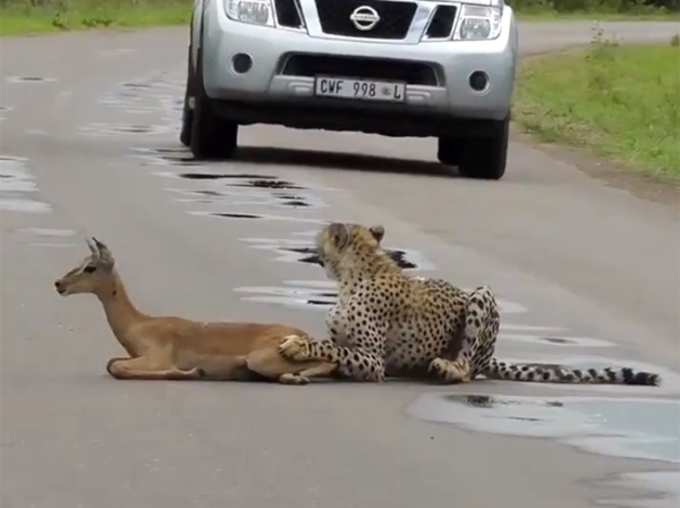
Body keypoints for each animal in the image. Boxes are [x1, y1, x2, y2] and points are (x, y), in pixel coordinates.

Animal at [278, 222, 660, 384]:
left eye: (322, 240)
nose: (314, 250)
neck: (357, 271)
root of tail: (489, 357)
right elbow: (333, 346)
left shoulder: (374, 361)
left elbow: (332, 348)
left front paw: (298, 345)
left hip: (481, 294)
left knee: (466, 371)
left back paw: (446, 368)